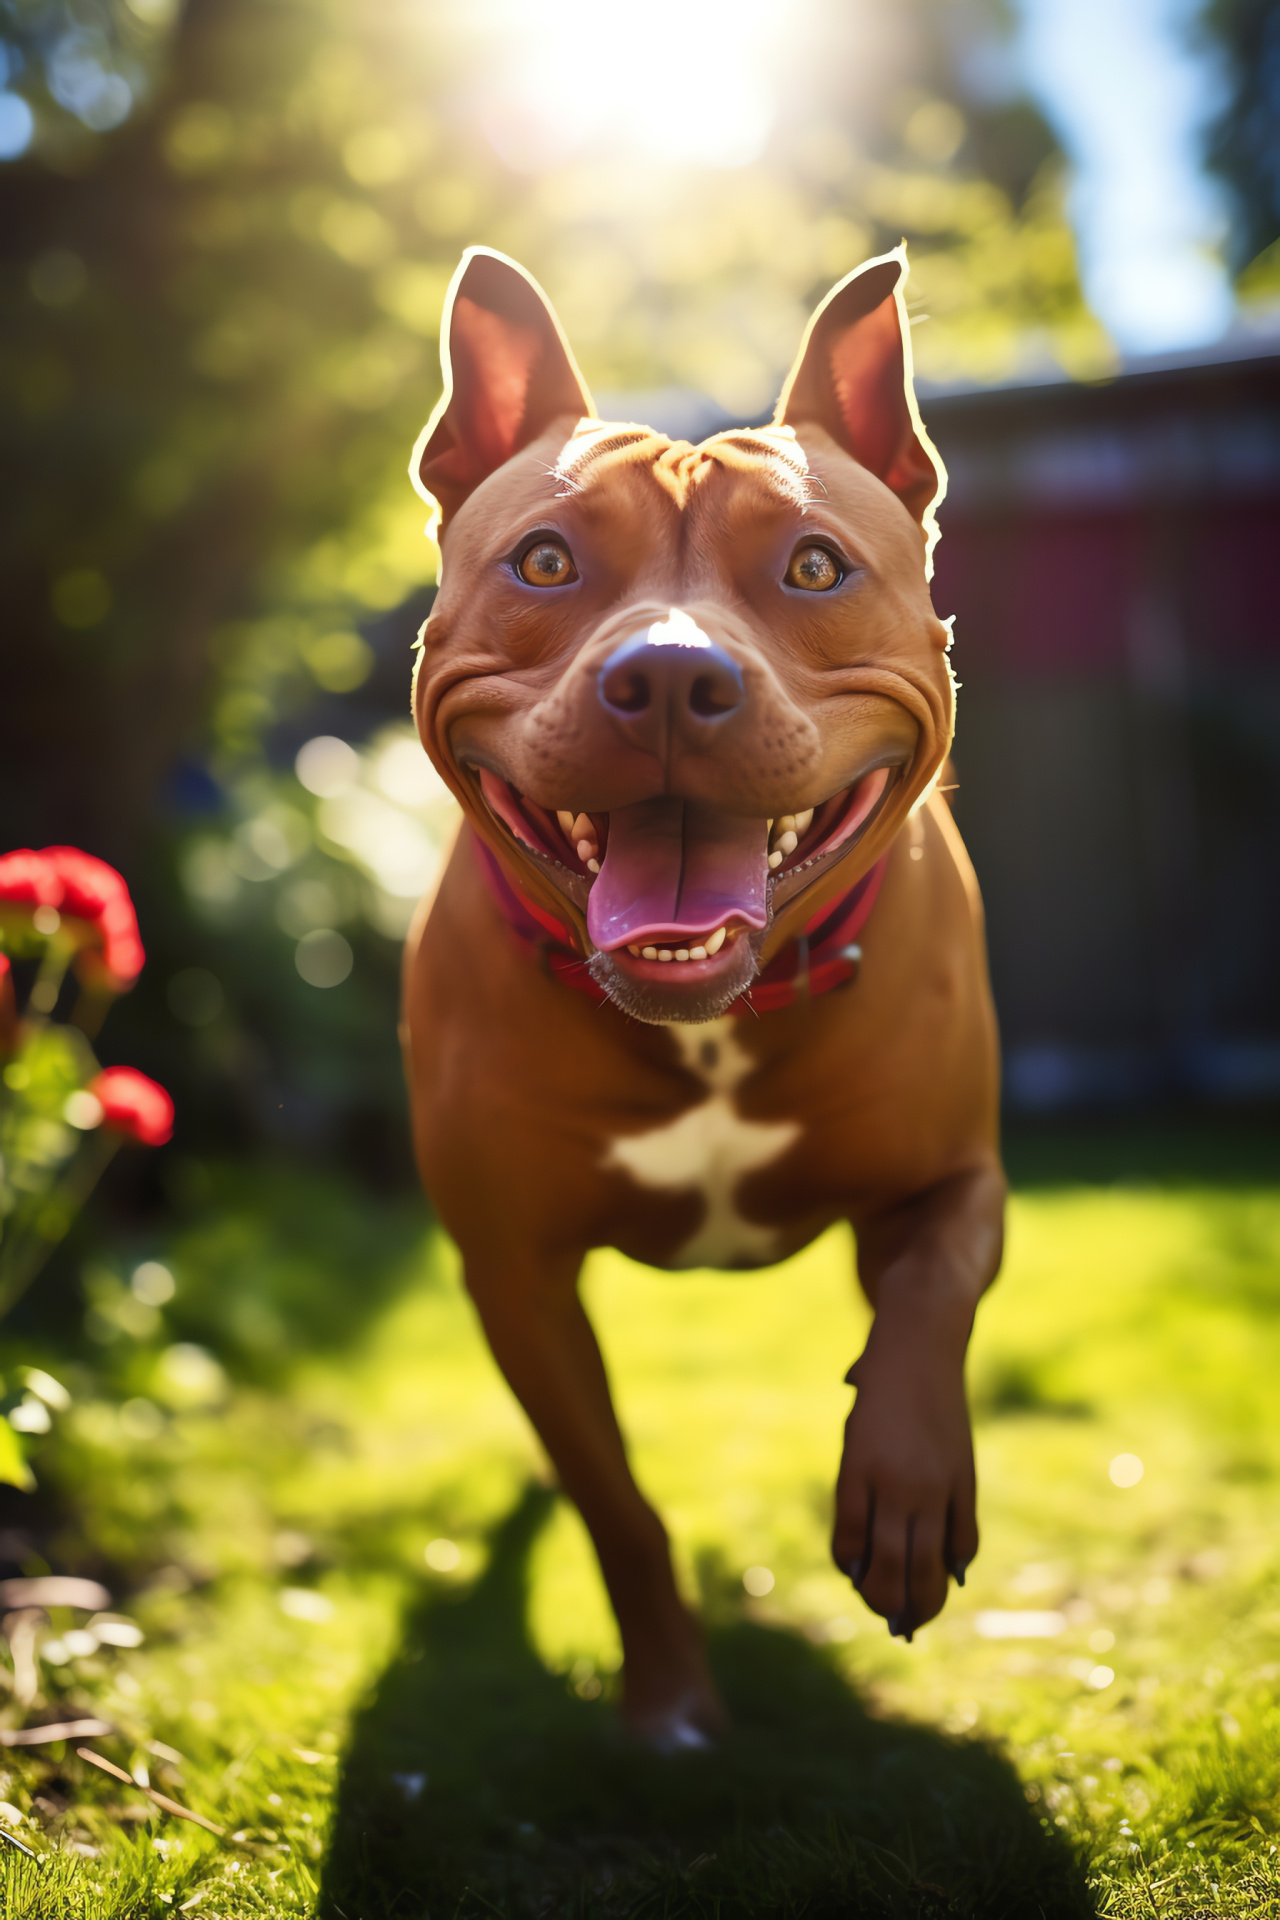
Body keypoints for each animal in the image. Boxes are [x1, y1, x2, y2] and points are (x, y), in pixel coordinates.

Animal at [404, 247, 1005, 1751]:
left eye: (814, 565)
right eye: (544, 560)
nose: (671, 675)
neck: (711, 1025)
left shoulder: (954, 1176)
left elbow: (929, 1293)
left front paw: (905, 1494)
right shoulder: (516, 1273)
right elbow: (612, 1499)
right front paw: (672, 1703)